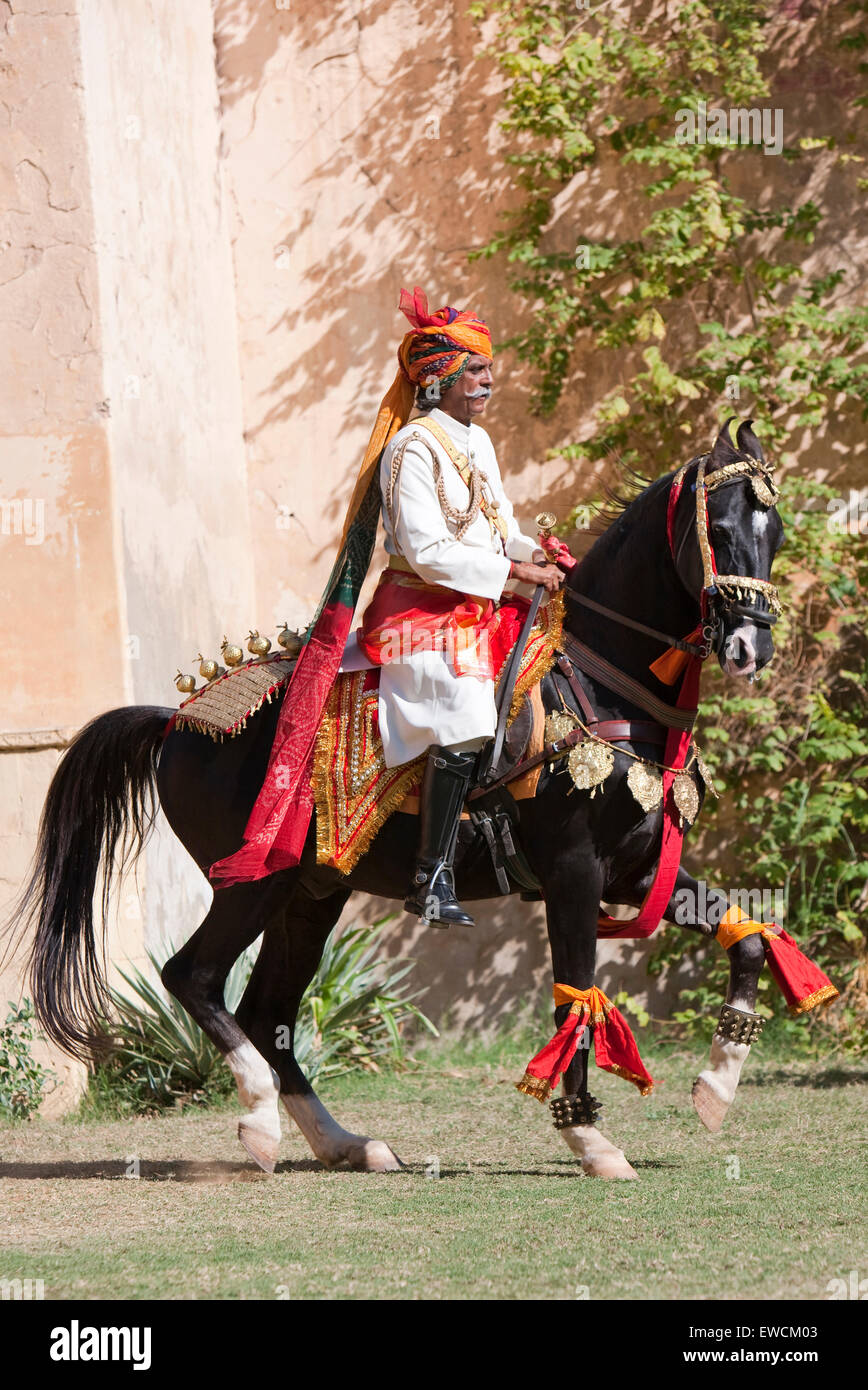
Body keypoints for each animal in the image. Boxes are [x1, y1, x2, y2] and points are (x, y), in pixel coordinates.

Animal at [14, 417, 784, 1181]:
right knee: (195, 977)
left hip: (314, 891)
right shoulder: (574, 873)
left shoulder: (637, 868)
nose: (752, 647)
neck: (601, 684)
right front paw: (590, 1139)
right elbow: (578, 994)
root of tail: (176, 722)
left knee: (267, 1012)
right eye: (719, 525)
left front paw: (716, 1086)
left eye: (775, 533)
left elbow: (747, 938)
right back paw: (260, 1121)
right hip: (253, 882)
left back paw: (346, 1143)